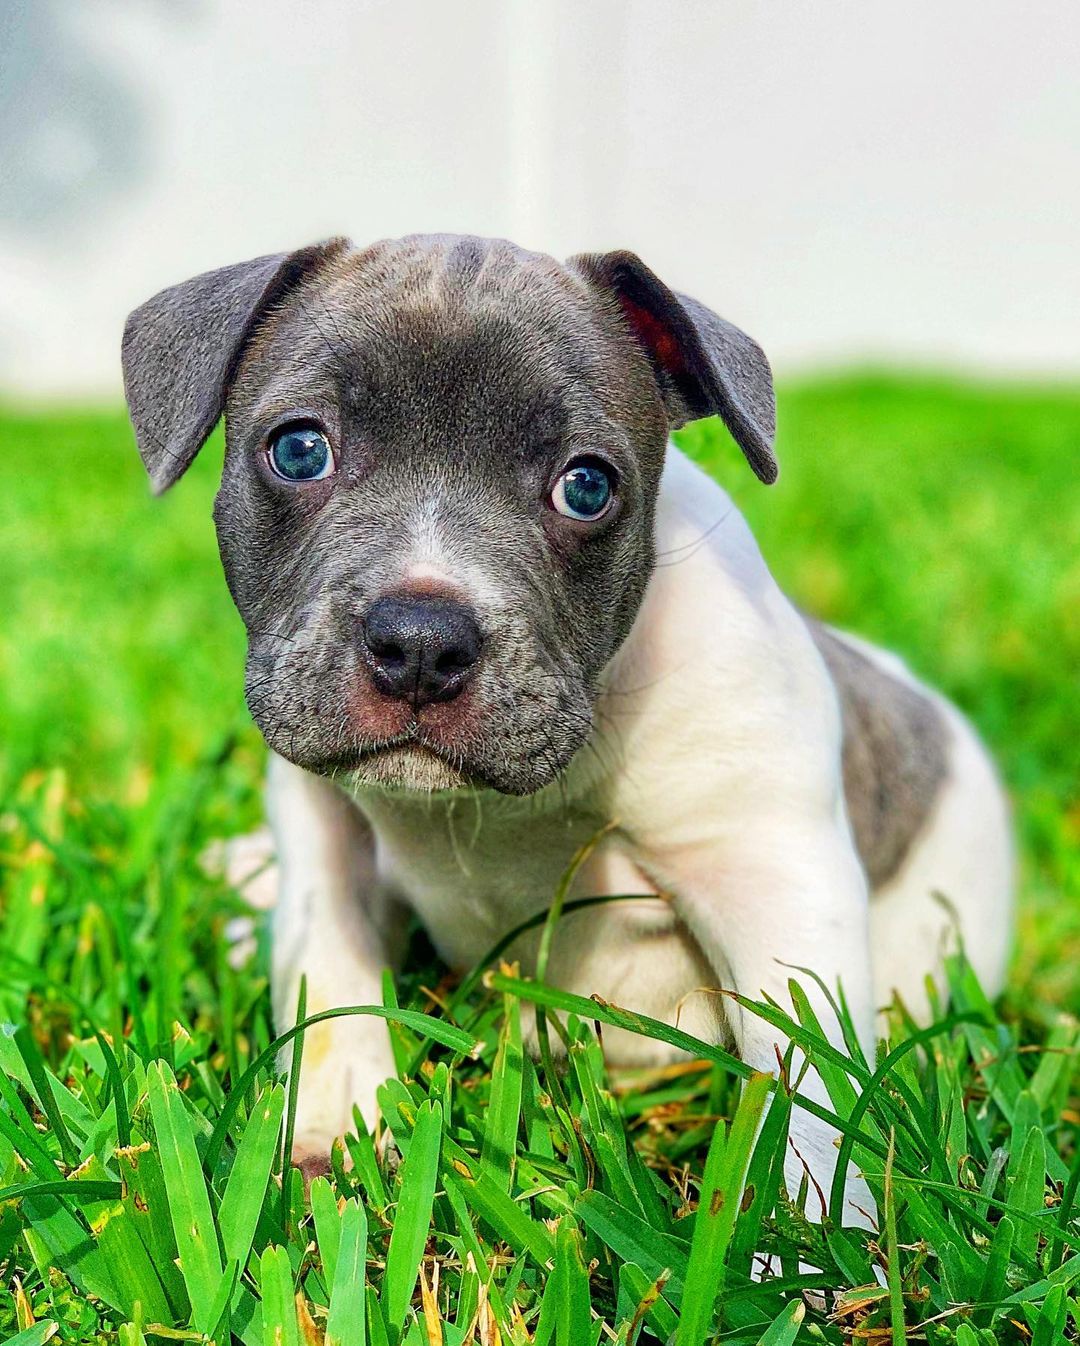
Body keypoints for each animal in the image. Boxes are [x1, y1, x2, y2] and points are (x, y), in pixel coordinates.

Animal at [123, 234, 1012, 1222]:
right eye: (300, 449)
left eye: (586, 487)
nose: (420, 642)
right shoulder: (324, 824)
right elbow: (330, 970)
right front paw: (329, 1132)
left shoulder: (771, 874)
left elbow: (808, 1080)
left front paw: (808, 1239)